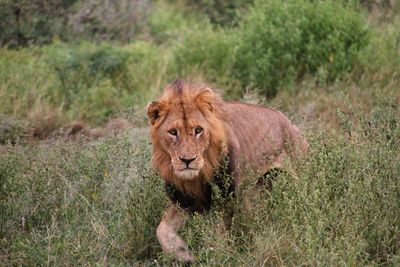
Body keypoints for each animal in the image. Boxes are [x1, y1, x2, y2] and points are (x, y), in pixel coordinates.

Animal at [147, 80, 310, 264]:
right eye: (173, 132)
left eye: (198, 130)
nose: (187, 160)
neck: (197, 177)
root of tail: (289, 122)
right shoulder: (183, 199)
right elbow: (161, 230)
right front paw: (183, 252)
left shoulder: (225, 197)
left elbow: (220, 236)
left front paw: (220, 257)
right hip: (257, 189)